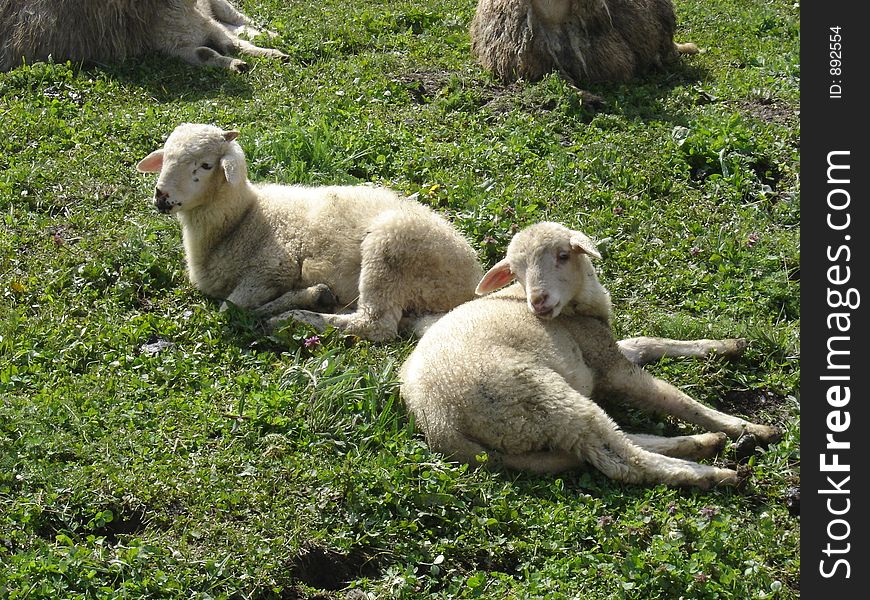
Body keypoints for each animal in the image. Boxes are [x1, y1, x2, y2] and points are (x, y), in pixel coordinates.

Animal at [0, 0, 288, 73]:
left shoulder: (210, 28)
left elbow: (235, 43)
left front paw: (273, 55)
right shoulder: (178, 48)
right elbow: (208, 53)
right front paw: (237, 65)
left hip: (218, 5)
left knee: (241, 20)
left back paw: (273, 35)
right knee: (236, 25)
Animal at [140, 122, 488, 342]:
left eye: (206, 165)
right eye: (166, 157)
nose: (161, 196)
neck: (243, 219)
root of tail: (471, 280)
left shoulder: (273, 268)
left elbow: (230, 309)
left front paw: (297, 301)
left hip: (392, 248)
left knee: (374, 325)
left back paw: (297, 316)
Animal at [402, 223, 784, 490]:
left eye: (563, 255)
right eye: (517, 271)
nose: (538, 302)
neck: (581, 312)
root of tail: (439, 423)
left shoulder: (602, 350)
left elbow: (648, 342)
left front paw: (727, 345)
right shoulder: (610, 368)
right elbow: (675, 398)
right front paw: (748, 427)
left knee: (609, 440)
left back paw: (703, 444)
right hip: (541, 400)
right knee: (622, 459)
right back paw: (716, 472)